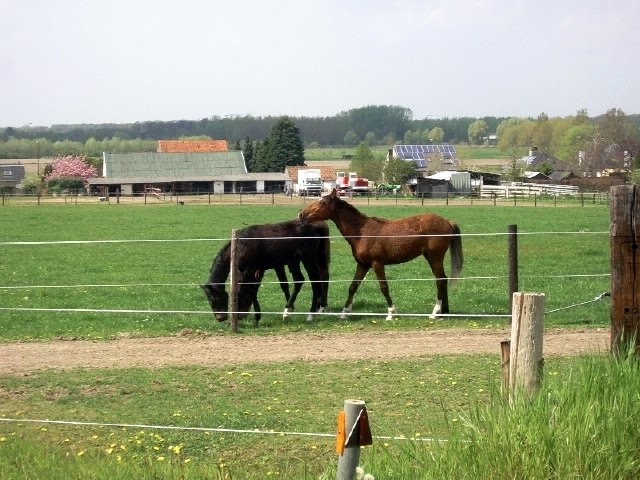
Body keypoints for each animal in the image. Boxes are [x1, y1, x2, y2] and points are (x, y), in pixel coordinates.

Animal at [298, 189, 462, 320]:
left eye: (322, 203)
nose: (301, 214)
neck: (362, 232)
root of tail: (447, 221)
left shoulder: (377, 264)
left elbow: (384, 287)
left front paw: (391, 313)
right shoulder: (362, 265)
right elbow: (353, 287)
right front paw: (344, 313)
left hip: (435, 257)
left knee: (440, 280)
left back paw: (435, 313)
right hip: (430, 257)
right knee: (443, 279)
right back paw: (443, 312)